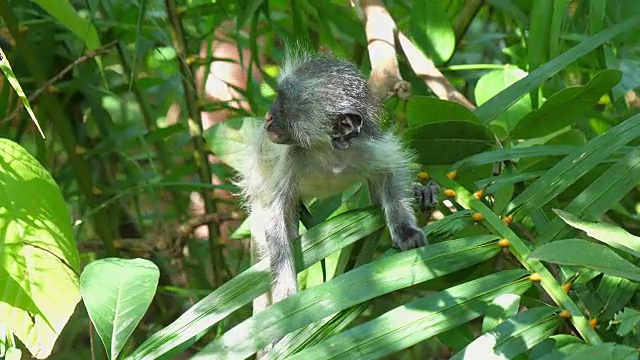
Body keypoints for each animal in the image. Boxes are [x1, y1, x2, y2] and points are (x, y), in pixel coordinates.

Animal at [235, 47, 436, 312]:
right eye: (277, 101)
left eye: (284, 105)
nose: (268, 118)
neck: (328, 153)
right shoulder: (291, 157)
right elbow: (275, 215)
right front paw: (286, 292)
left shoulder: (368, 147)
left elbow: (390, 178)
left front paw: (405, 230)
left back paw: (423, 193)